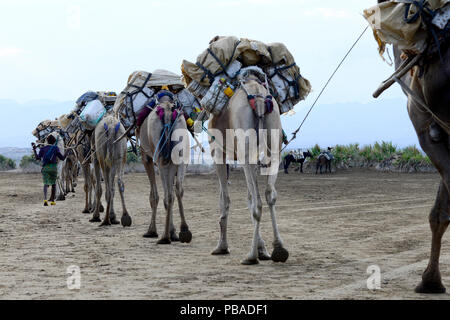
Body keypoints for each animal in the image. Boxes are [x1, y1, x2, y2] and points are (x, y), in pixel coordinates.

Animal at [138, 99, 192, 244]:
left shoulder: (146, 157)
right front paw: (174, 233)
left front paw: (151, 231)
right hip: (181, 152)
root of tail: (167, 111)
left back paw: (164, 237)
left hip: (161, 158)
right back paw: (184, 230)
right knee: (178, 189)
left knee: (168, 195)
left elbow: (154, 196)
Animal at [207, 72, 288, 264]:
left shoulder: (218, 152)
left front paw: (222, 246)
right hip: (273, 143)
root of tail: (258, 96)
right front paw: (262, 249)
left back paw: (251, 256)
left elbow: (225, 199)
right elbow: (249, 197)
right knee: (269, 193)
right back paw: (279, 248)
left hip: (245, 147)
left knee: (257, 202)